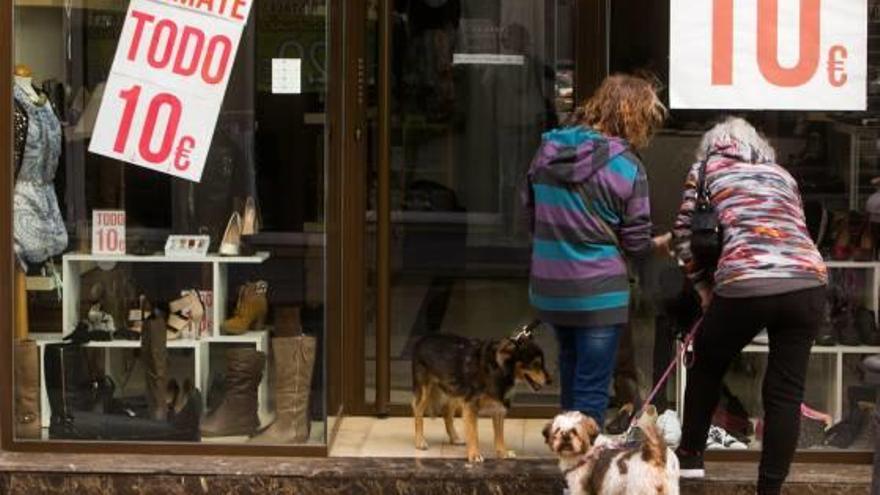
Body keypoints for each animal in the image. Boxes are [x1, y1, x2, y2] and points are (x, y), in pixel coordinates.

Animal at [412, 324, 552, 464]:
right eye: (535, 364)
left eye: (542, 363)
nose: (550, 381)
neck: (498, 368)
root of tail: (423, 339)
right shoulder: (471, 405)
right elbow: (473, 433)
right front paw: (474, 454)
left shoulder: (498, 408)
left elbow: (499, 435)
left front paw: (503, 453)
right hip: (426, 391)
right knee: (418, 411)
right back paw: (420, 441)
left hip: (456, 390)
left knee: (447, 413)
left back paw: (455, 438)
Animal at [544, 410, 680, 495]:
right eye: (558, 430)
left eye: (575, 432)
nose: (565, 436)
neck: (587, 450)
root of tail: (655, 454)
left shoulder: (580, 488)